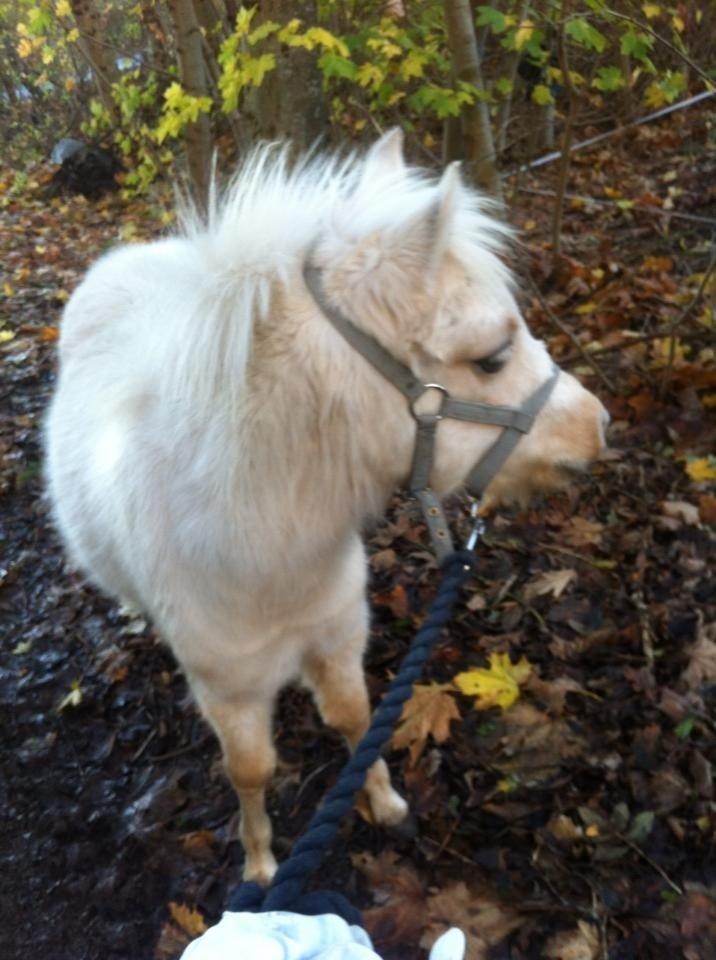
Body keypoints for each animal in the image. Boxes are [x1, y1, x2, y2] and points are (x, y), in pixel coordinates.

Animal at [45, 129, 608, 884]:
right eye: (492, 357)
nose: (598, 426)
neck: (258, 544)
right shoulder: (229, 690)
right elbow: (251, 771)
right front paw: (260, 864)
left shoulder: (338, 637)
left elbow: (355, 721)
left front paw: (384, 804)